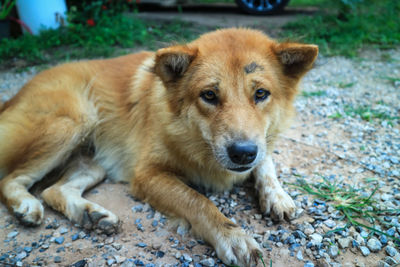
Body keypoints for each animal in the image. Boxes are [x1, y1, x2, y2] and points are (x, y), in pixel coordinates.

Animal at [0, 28, 318, 266]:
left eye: (261, 93)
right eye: (209, 95)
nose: (242, 153)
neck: (196, 141)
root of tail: (14, 96)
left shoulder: (259, 145)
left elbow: (266, 160)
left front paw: (276, 195)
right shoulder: (148, 175)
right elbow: (198, 201)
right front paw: (232, 236)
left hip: (93, 160)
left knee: (53, 190)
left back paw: (90, 214)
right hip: (73, 121)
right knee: (12, 180)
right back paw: (26, 205)